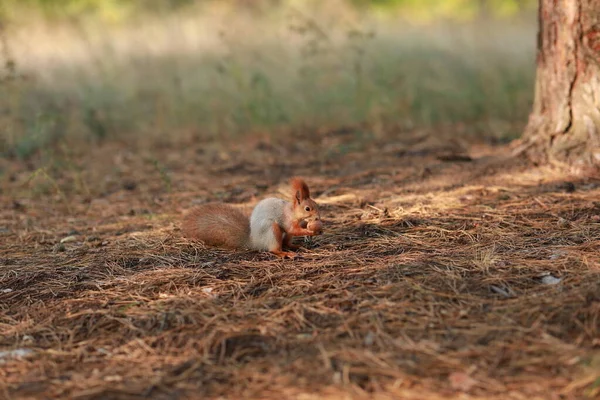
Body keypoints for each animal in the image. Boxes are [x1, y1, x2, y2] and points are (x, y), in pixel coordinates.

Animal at [183, 177, 324, 258]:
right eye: (307, 208)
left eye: (316, 204)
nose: (318, 217)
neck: (292, 212)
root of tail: (254, 241)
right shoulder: (286, 219)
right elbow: (293, 230)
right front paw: (311, 231)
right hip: (271, 230)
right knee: (274, 249)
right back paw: (284, 253)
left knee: (286, 243)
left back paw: (296, 247)